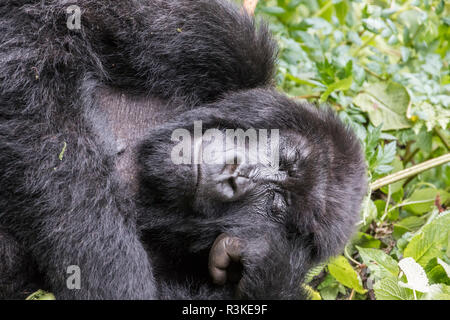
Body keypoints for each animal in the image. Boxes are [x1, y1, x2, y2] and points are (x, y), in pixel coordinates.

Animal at [0, 0, 366, 300]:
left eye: (276, 204)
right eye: (283, 157)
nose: (236, 174)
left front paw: (271, 262)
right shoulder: (226, 41)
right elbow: (39, 40)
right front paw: (115, 272)